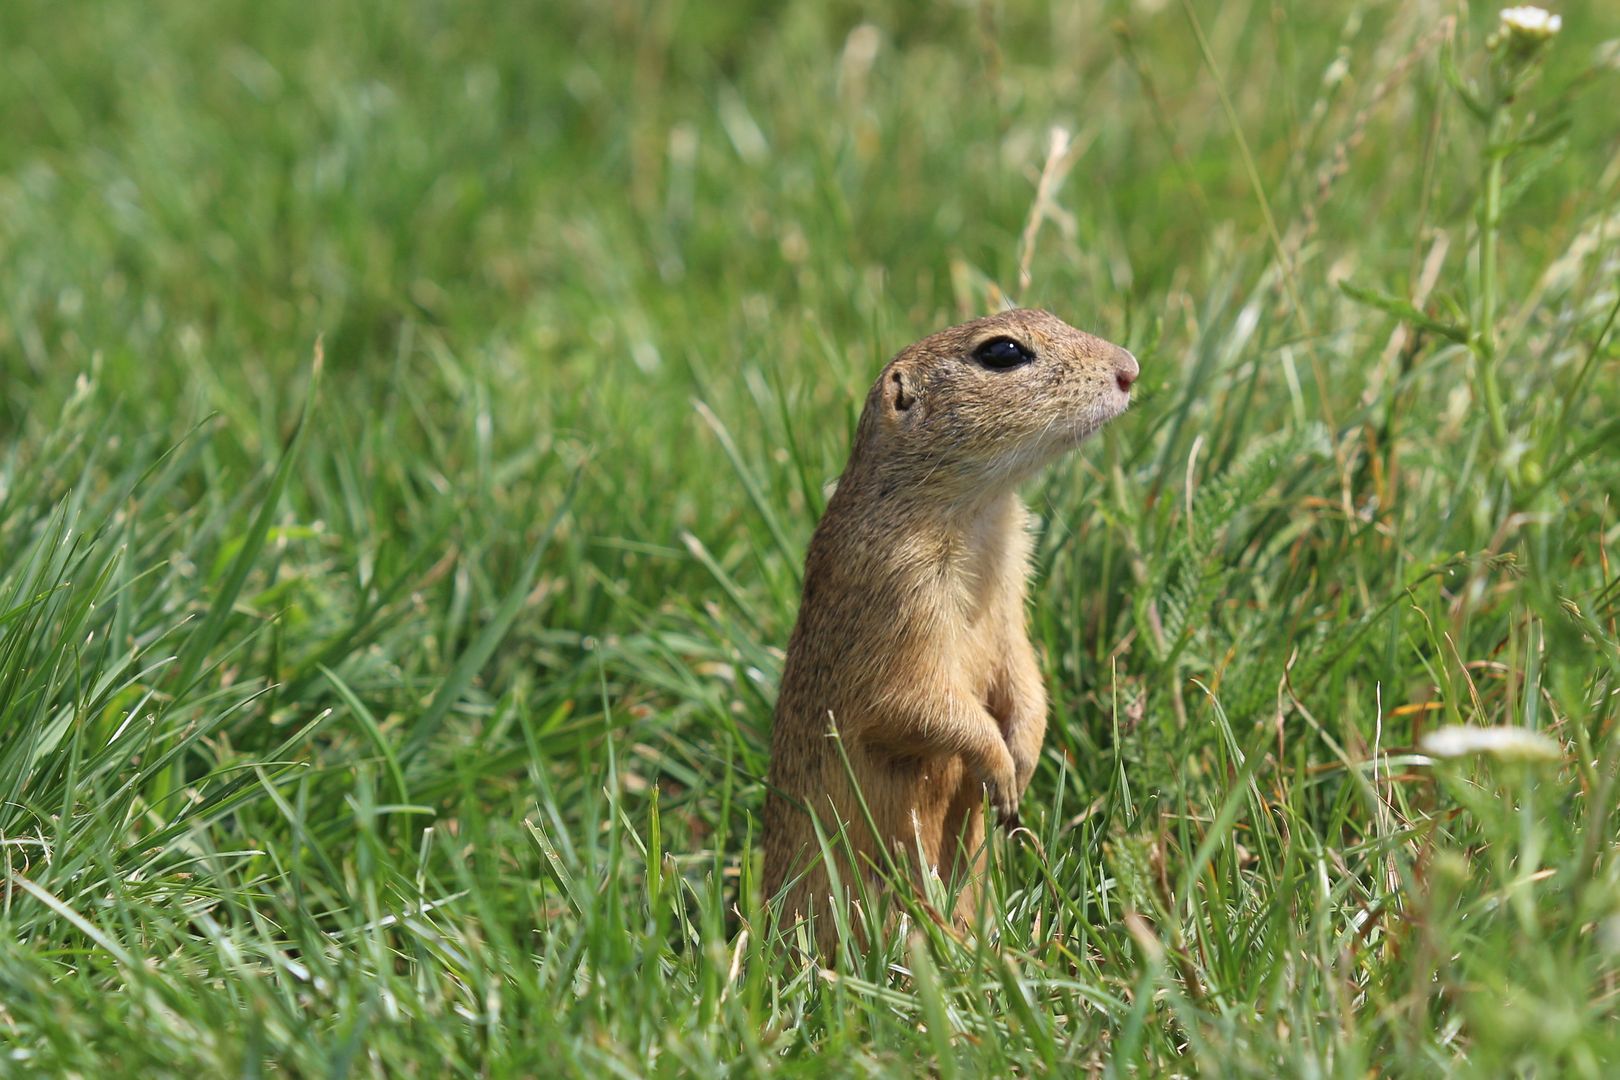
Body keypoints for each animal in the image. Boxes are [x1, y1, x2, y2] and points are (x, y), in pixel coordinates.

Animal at [761, 304, 1134, 952]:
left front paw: (1023, 761)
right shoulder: (897, 597)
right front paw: (1001, 771)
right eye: (1002, 352)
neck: (979, 512)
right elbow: (913, 702)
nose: (1131, 369)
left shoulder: (1011, 600)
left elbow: (1024, 673)